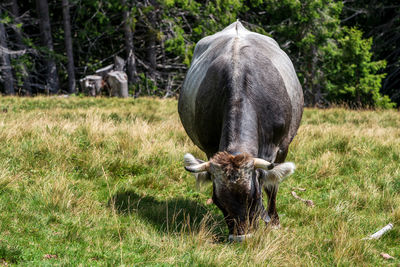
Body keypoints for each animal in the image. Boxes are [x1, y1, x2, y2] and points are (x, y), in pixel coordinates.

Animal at [178, 21, 304, 243]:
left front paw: (273, 222)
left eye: (253, 198)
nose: (240, 238)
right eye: (218, 201)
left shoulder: (281, 147)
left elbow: (272, 185)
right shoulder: (209, 147)